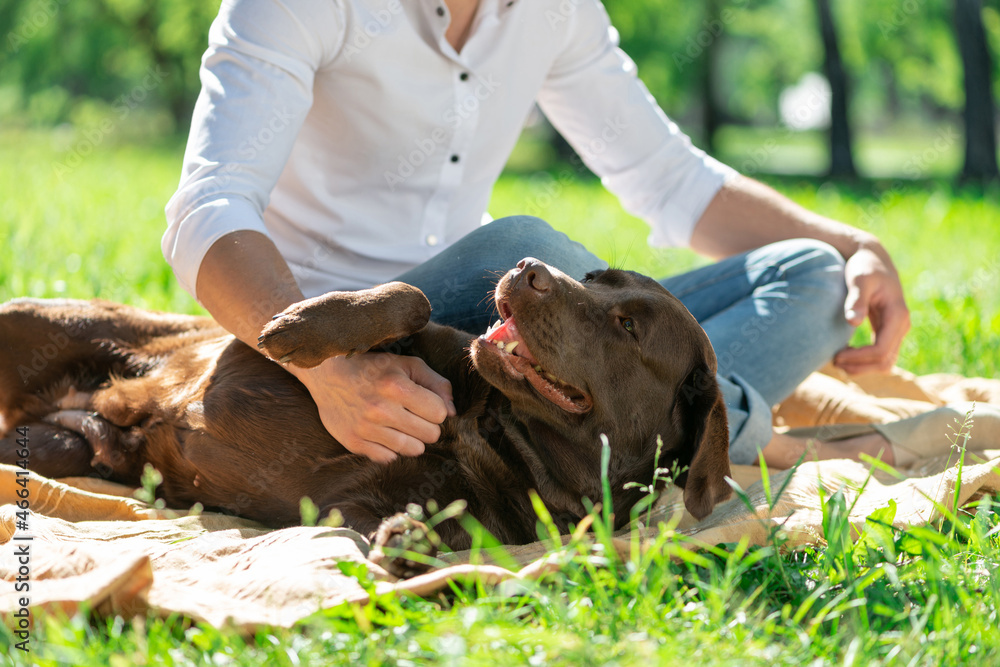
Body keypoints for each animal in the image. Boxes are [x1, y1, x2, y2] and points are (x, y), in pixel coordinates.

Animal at [0, 258, 728, 576]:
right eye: (594, 275)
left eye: (628, 327)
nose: (528, 269)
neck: (492, 428)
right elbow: (412, 295)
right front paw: (302, 326)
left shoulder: (355, 509)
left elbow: (437, 533)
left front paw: (410, 542)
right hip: (40, 321)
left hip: (64, 446)